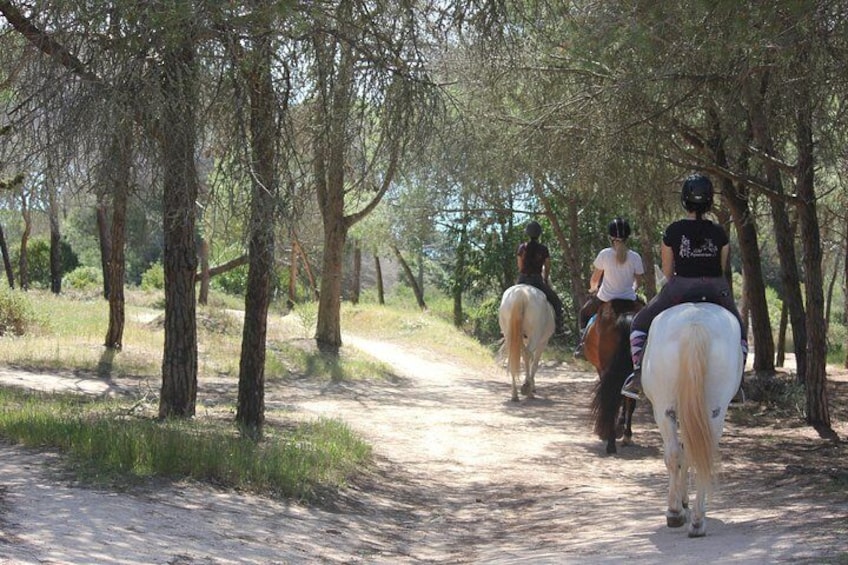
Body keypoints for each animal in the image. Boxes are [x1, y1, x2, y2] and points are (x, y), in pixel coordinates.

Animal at [644, 302, 744, 536]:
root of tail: (695, 323)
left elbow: (681, 455)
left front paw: (681, 503)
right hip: (713, 411)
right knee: (700, 454)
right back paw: (696, 520)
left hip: (664, 409)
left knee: (676, 454)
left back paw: (677, 513)